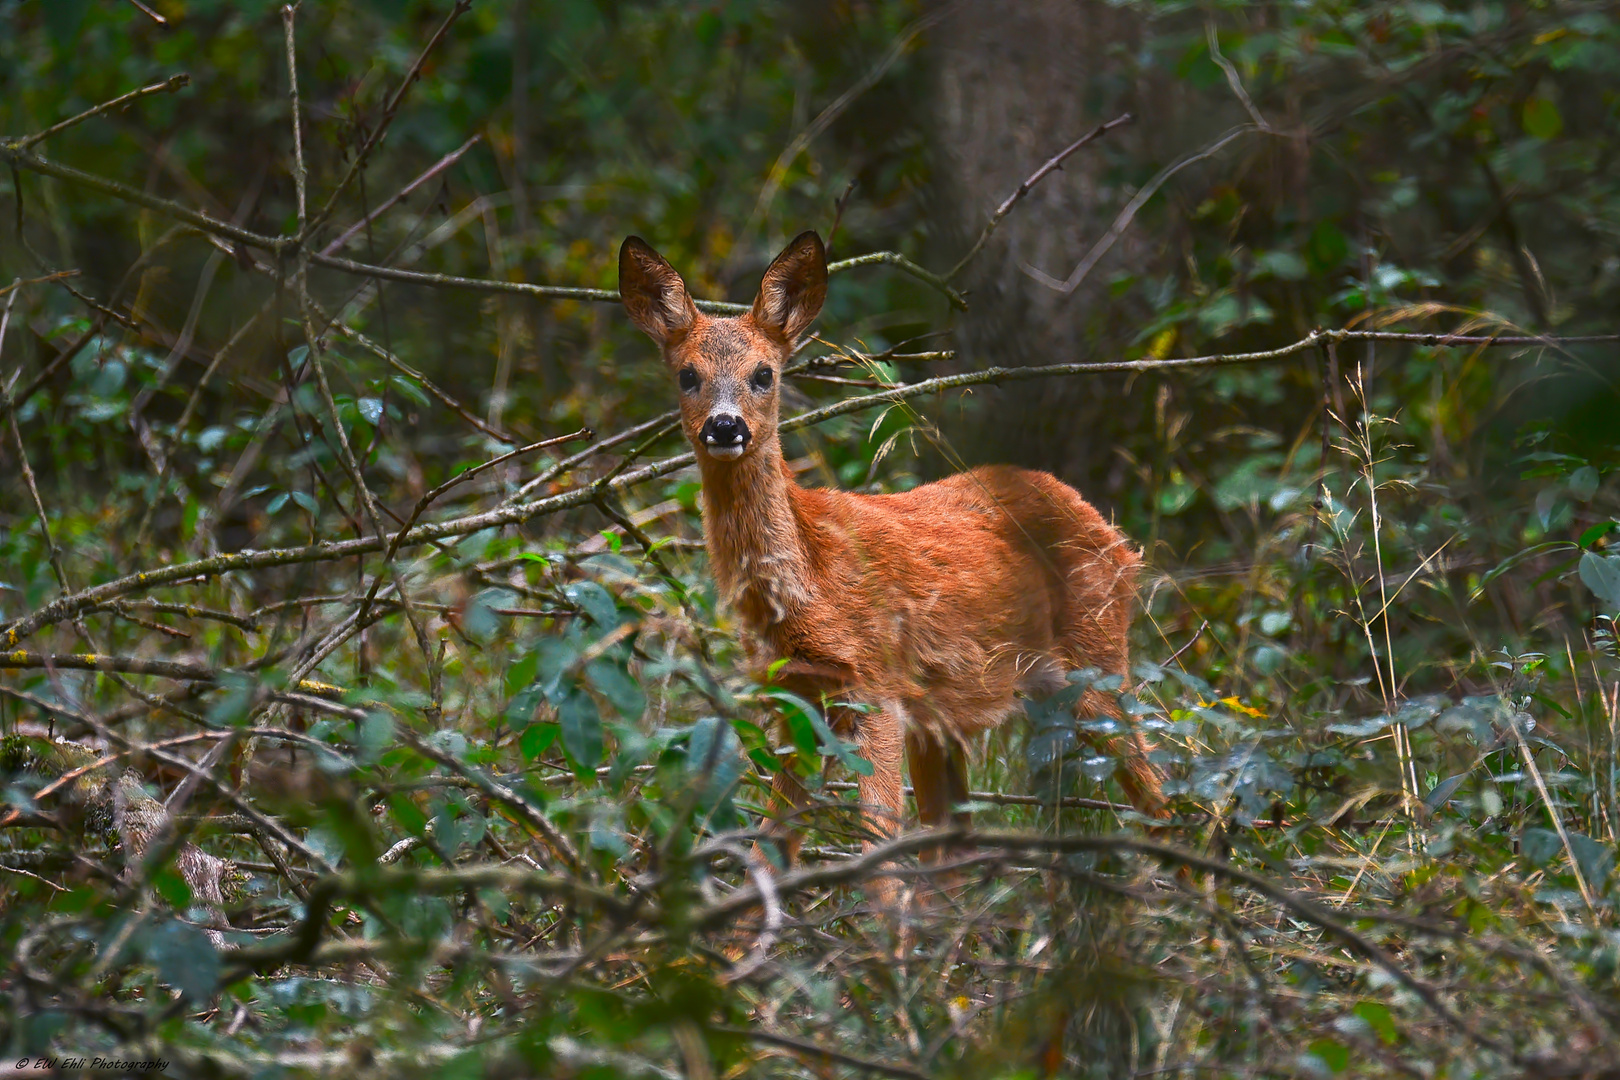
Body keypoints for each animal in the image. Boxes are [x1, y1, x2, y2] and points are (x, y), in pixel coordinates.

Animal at [618, 229, 1166, 906]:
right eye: (687, 375)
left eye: (764, 374)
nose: (725, 426)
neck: (809, 584)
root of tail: (1115, 535)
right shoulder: (799, 700)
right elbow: (768, 855)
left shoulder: (875, 684)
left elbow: (876, 855)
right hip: (952, 711)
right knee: (956, 844)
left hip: (1095, 657)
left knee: (1160, 791)